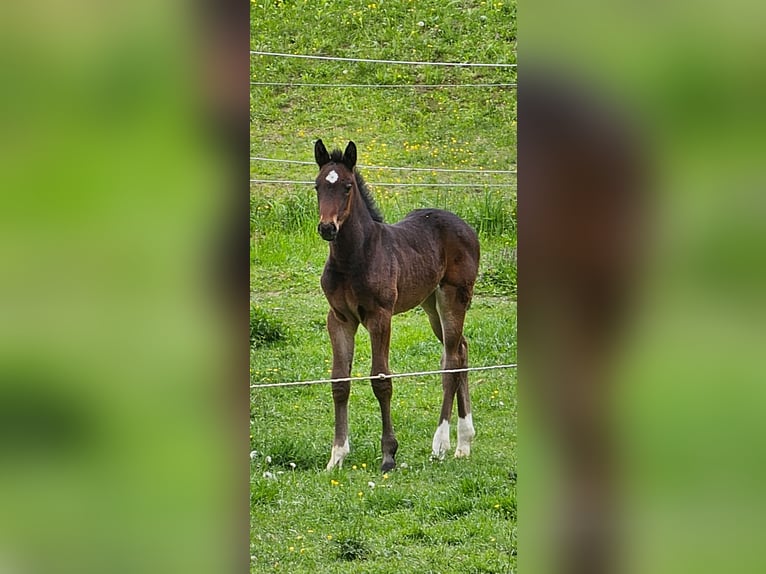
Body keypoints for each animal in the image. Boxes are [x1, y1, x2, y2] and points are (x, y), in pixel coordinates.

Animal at [312, 140, 480, 472]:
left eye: (347, 187)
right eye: (318, 186)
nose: (327, 228)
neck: (354, 257)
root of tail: (467, 228)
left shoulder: (380, 316)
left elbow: (381, 379)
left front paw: (389, 454)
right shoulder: (339, 318)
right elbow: (339, 381)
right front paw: (336, 455)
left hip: (453, 297)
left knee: (451, 360)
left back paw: (441, 443)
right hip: (431, 305)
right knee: (461, 350)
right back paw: (464, 443)